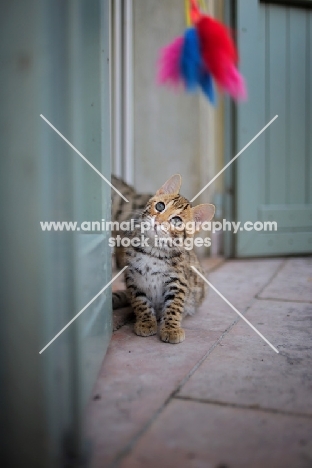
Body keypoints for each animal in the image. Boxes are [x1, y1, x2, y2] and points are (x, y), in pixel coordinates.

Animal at [123, 174, 216, 342]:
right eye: (160, 206)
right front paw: (146, 322)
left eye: (176, 220)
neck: (153, 249)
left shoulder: (178, 281)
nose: (158, 221)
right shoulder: (133, 277)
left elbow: (174, 305)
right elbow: (140, 301)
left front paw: (171, 329)